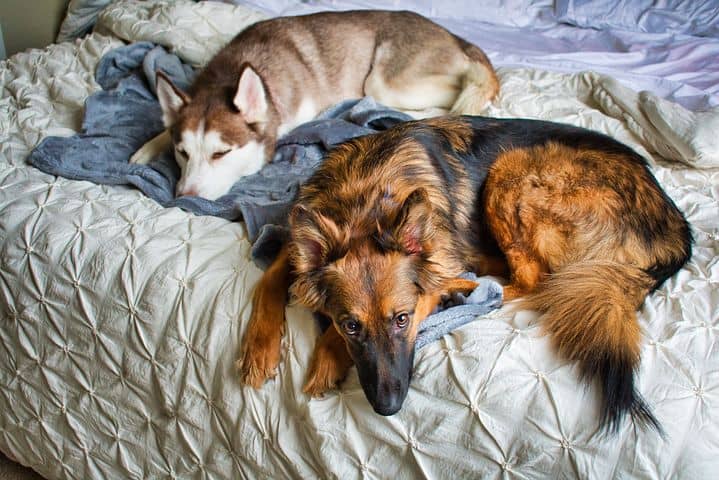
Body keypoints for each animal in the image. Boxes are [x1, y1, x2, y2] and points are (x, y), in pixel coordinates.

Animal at [239, 115, 696, 432]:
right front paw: (258, 351)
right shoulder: (297, 245)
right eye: (352, 325)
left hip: (513, 169)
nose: (388, 407)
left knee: (533, 282)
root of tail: (676, 228)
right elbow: (267, 279)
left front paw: (325, 360)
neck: (364, 201)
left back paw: (472, 284)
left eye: (402, 319)